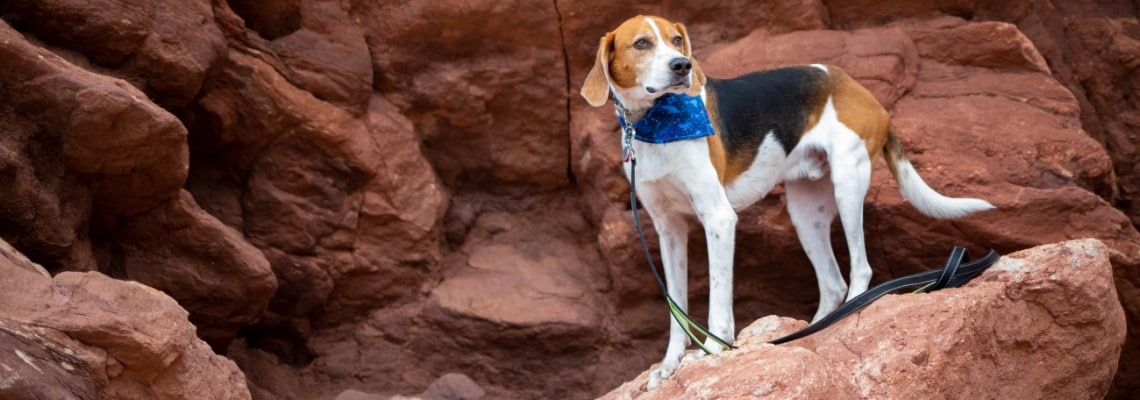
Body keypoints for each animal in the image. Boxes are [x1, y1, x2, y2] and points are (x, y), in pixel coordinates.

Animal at [583, 15, 994, 387]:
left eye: (677, 40)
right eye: (641, 44)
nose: (681, 66)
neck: (654, 124)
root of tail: (858, 89)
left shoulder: (718, 219)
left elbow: (718, 298)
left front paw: (713, 351)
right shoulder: (668, 230)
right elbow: (676, 308)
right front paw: (670, 364)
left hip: (848, 184)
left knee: (860, 269)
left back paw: (849, 316)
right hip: (805, 213)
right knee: (832, 282)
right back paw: (815, 330)